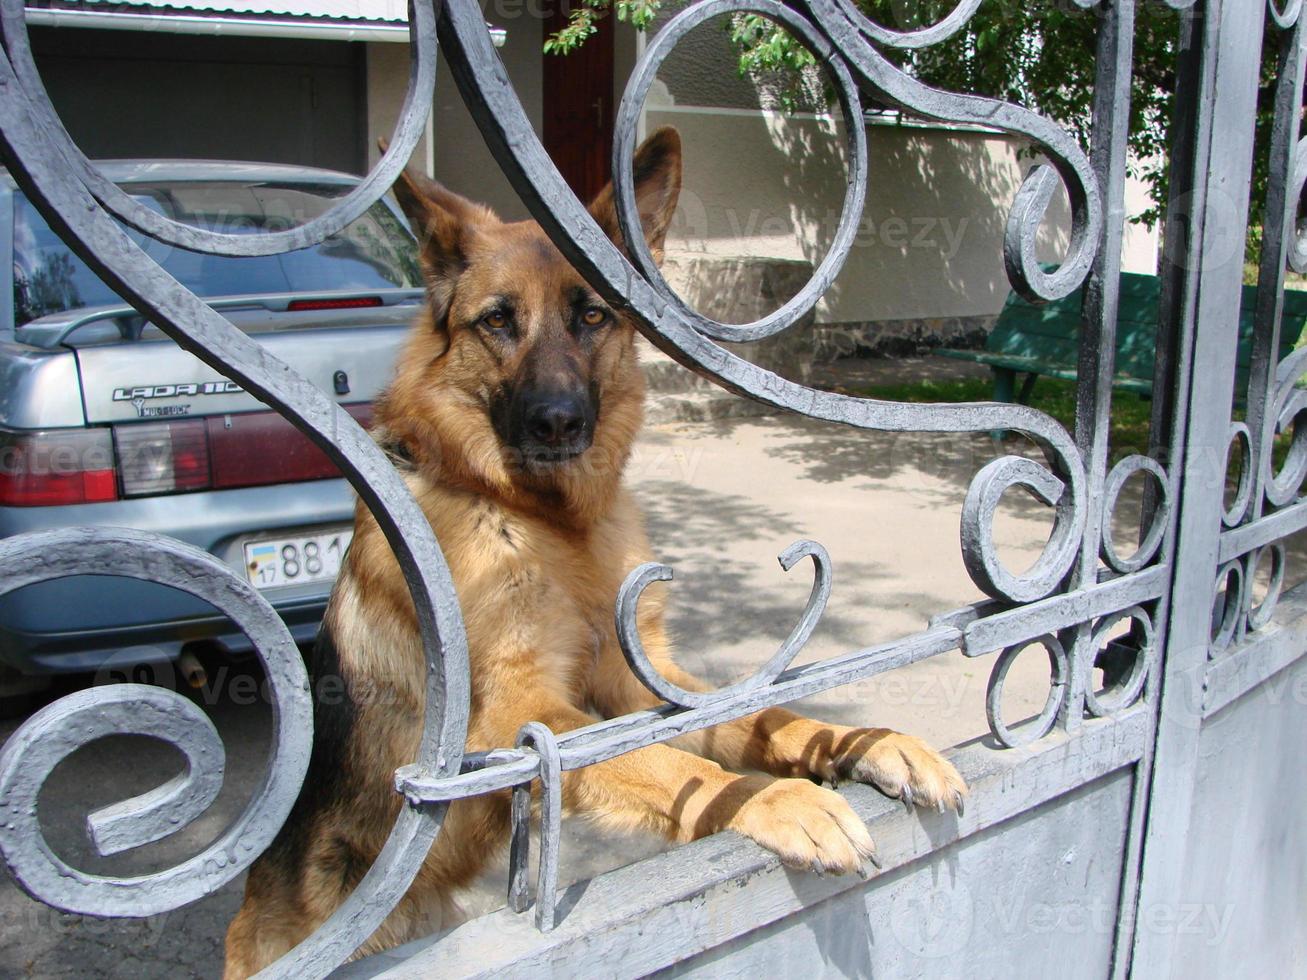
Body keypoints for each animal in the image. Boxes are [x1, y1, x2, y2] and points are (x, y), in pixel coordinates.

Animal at [222, 128, 961, 977]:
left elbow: (760, 716)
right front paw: (780, 800)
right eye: (497, 321)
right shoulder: (520, 713)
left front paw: (863, 744)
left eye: (592, 315)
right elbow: (684, 768)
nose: (556, 422)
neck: (544, 520)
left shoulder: (636, 681)